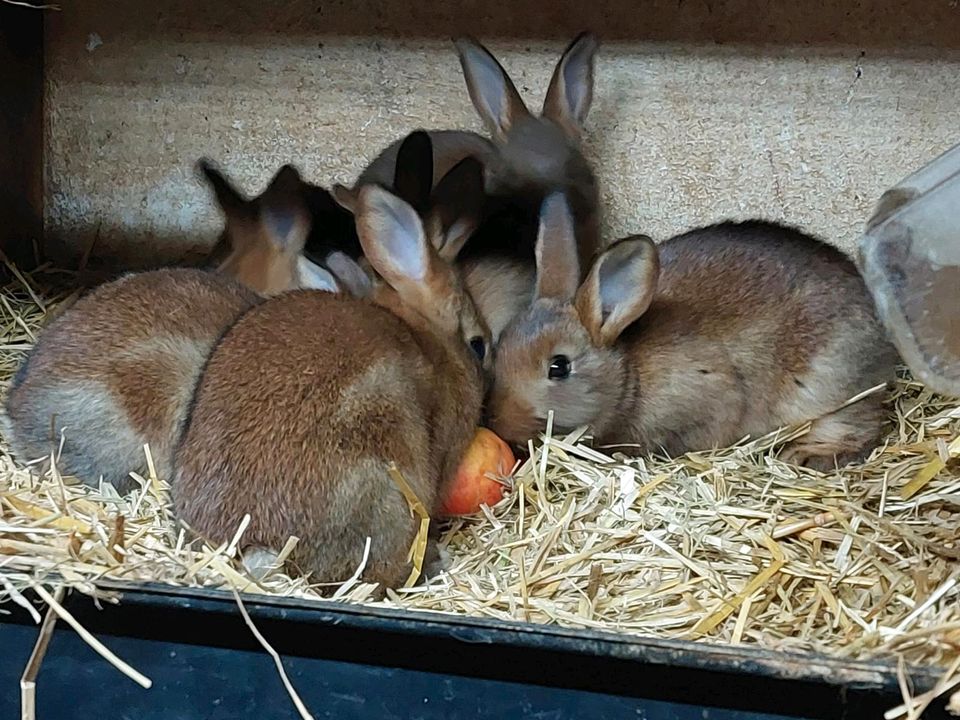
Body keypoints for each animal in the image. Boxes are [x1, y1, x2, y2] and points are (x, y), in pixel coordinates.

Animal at [488, 194, 900, 470]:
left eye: (558, 367)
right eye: (500, 345)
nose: (498, 422)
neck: (630, 375)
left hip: (824, 387)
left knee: (859, 427)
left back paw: (805, 455)